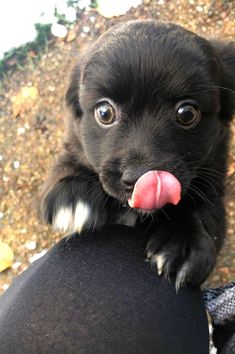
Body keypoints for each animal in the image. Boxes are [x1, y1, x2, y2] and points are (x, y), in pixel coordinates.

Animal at [39, 20, 235, 288]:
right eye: (104, 113)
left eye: (187, 113)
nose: (141, 178)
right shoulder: (74, 146)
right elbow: (65, 166)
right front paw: (73, 195)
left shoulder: (212, 174)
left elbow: (204, 208)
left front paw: (184, 238)